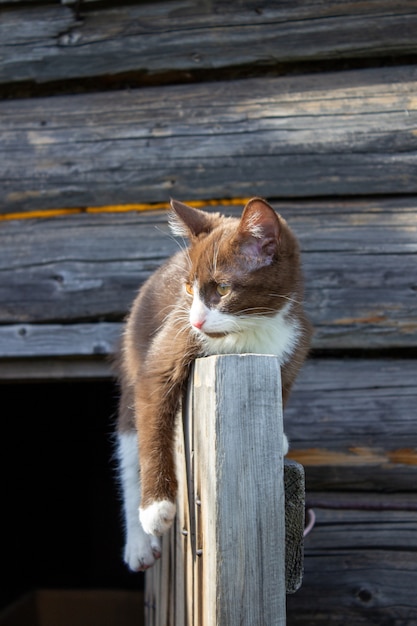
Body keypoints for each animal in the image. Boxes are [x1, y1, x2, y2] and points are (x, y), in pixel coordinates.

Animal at [115, 197, 310, 568]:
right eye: (190, 288)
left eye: (222, 288)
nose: (196, 320)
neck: (247, 333)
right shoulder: (170, 344)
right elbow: (153, 415)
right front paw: (156, 507)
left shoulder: (295, 338)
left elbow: (284, 383)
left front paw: (278, 436)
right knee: (130, 443)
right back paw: (139, 541)